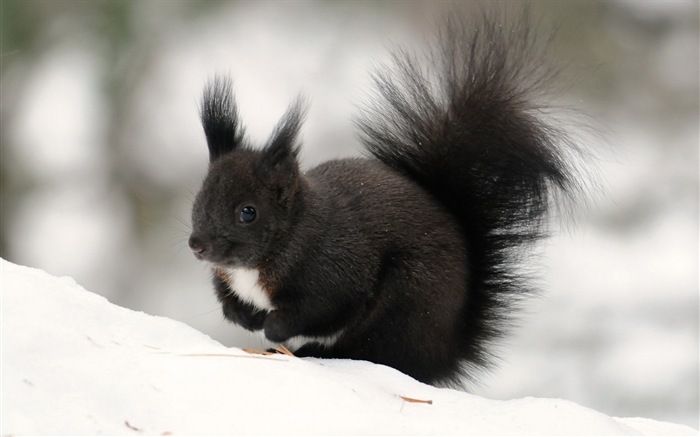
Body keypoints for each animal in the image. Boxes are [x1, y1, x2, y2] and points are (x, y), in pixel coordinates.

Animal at [189, 11, 584, 384]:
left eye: (248, 212)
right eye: (199, 200)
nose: (197, 245)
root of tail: (447, 352)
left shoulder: (335, 272)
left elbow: (319, 310)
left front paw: (272, 327)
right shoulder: (228, 279)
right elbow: (228, 303)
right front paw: (245, 317)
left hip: (405, 303)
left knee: (375, 351)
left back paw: (315, 352)